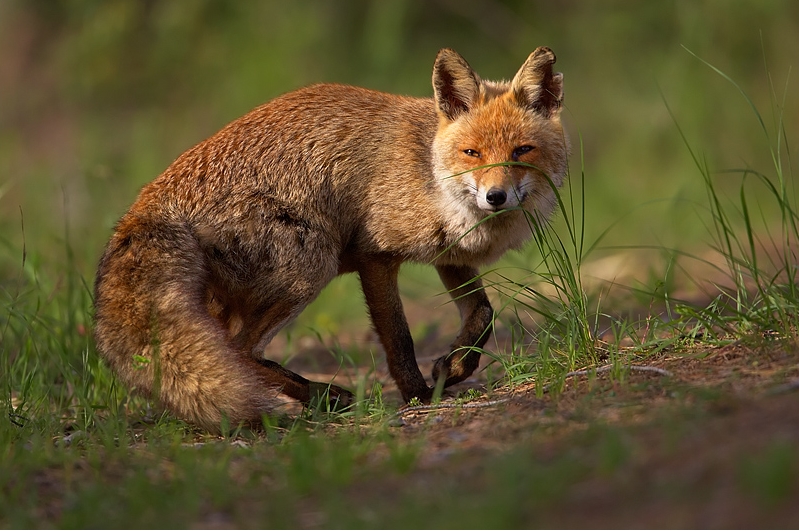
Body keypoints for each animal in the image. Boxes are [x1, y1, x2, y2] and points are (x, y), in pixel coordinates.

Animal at [94, 47, 568, 434]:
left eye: (522, 151)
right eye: (472, 153)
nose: (495, 197)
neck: (429, 173)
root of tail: (145, 203)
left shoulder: (447, 254)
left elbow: (483, 314)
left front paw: (453, 366)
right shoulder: (375, 255)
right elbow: (399, 339)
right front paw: (418, 395)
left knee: (229, 350)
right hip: (311, 264)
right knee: (239, 350)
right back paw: (320, 397)